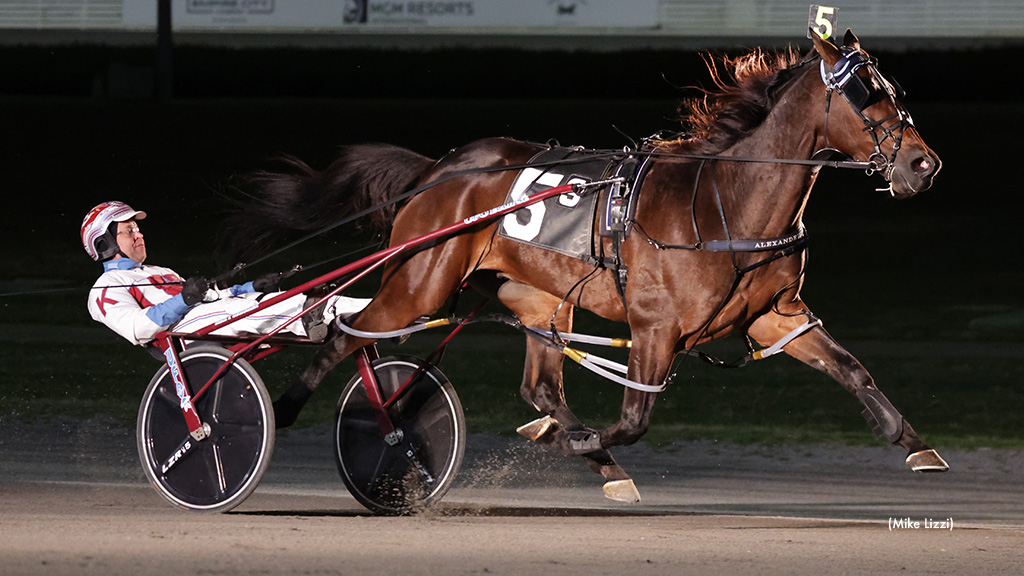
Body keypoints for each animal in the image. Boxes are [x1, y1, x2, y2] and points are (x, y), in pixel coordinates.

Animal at [228, 29, 946, 500]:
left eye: (891, 86)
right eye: (864, 93)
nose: (923, 163)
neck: (725, 205)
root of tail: (439, 169)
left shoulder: (774, 315)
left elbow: (850, 368)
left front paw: (914, 444)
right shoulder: (655, 326)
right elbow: (633, 420)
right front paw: (570, 441)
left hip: (540, 298)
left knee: (540, 386)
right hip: (418, 282)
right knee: (343, 334)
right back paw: (279, 412)